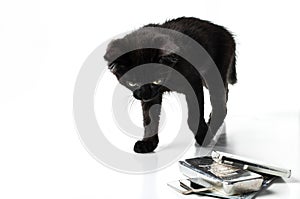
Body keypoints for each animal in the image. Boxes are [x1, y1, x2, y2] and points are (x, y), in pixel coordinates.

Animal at [103, 17, 237, 154]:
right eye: (132, 83)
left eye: (157, 81)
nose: (146, 95)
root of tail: (225, 32)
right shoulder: (153, 97)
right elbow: (149, 119)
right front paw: (148, 143)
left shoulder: (193, 83)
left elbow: (194, 116)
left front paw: (203, 136)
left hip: (213, 75)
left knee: (220, 104)